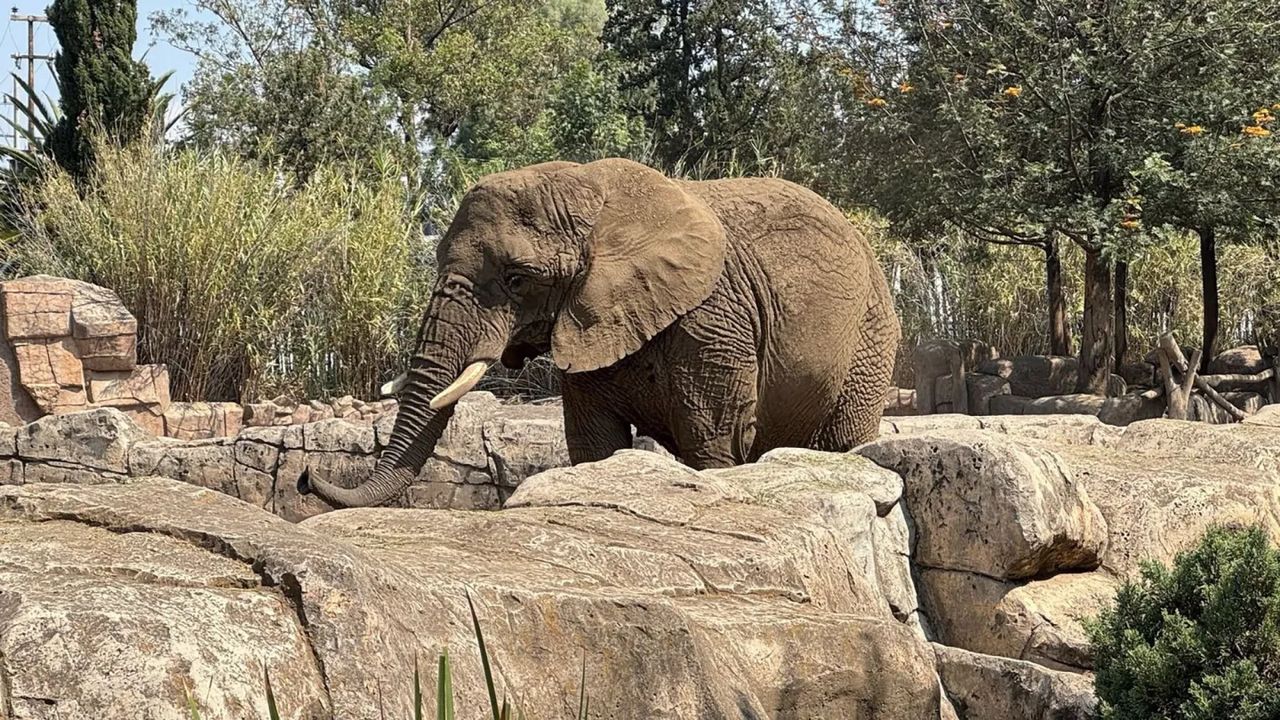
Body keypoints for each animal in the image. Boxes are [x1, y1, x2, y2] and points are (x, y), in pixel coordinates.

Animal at [302, 158, 901, 504]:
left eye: (517, 279)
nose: (309, 479)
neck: (594, 197)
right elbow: (595, 444)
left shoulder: (712, 320)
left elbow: (716, 438)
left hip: (870, 334)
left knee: (844, 436)